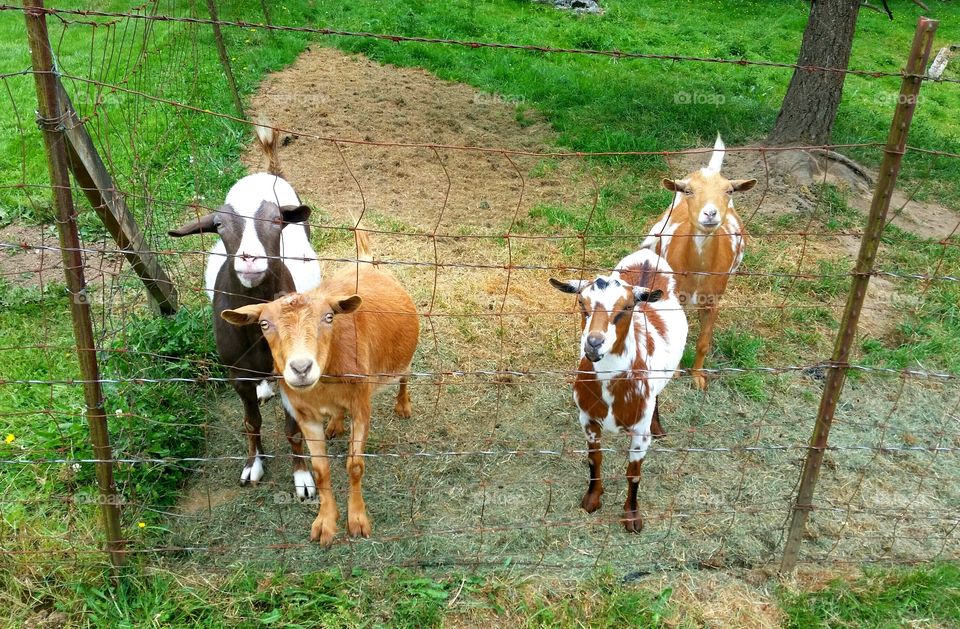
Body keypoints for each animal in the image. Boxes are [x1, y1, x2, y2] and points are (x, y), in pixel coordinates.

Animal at [227, 231, 422, 544]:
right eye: (264, 324)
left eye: (328, 317)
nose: (301, 368)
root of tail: (366, 260)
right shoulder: (304, 414)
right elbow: (319, 470)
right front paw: (325, 523)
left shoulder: (361, 404)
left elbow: (355, 465)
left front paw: (358, 521)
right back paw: (335, 425)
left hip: (400, 358)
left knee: (404, 374)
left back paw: (403, 405)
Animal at [552, 248, 688, 532]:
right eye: (581, 303)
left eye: (626, 307)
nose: (594, 343)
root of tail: (647, 255)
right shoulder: (587, 419)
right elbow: (594, 460)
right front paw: (592, 499)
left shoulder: (639, 432)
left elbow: (633, 474)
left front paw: (632, 516)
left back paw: (659, 427)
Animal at [640, 136, 752, 390]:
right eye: (689, 191)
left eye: (729, 191)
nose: (710, 214)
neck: (698, 270)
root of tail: (709, 169)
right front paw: (676, 373)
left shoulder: (713, 301)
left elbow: (703, 342)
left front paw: (698, 377)